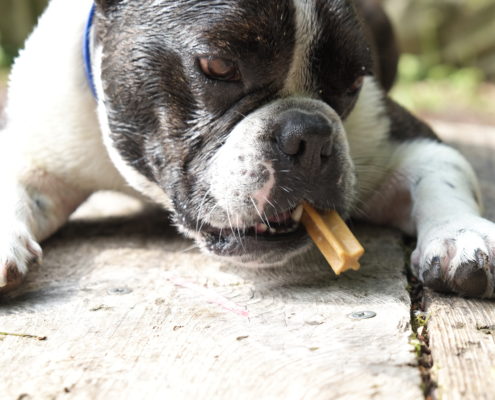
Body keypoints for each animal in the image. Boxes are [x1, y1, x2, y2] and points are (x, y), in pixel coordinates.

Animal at [0, 0, 495, 296]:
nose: (311, 136)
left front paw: (460, 235)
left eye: (354, 82)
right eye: (218, 67)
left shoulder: (407, 139)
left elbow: (442, 177)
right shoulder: (37, 147)